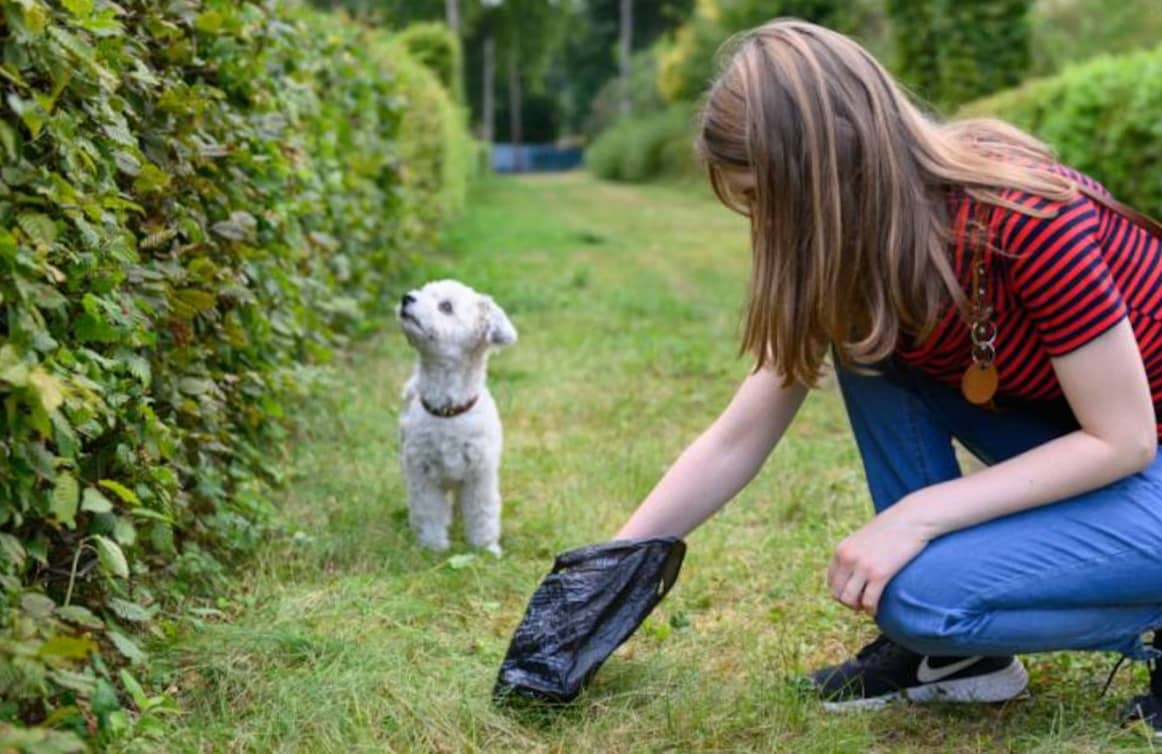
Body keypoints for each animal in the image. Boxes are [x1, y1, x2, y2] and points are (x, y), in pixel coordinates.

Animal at [397, 276, 515, 553]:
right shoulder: (422, 472)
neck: (448, 410)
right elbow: (429, 512)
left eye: (446, 307)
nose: (406, 297)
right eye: (422, 292)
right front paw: (433, 547)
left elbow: (483, 512)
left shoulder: (480, 474)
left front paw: (485, 548)